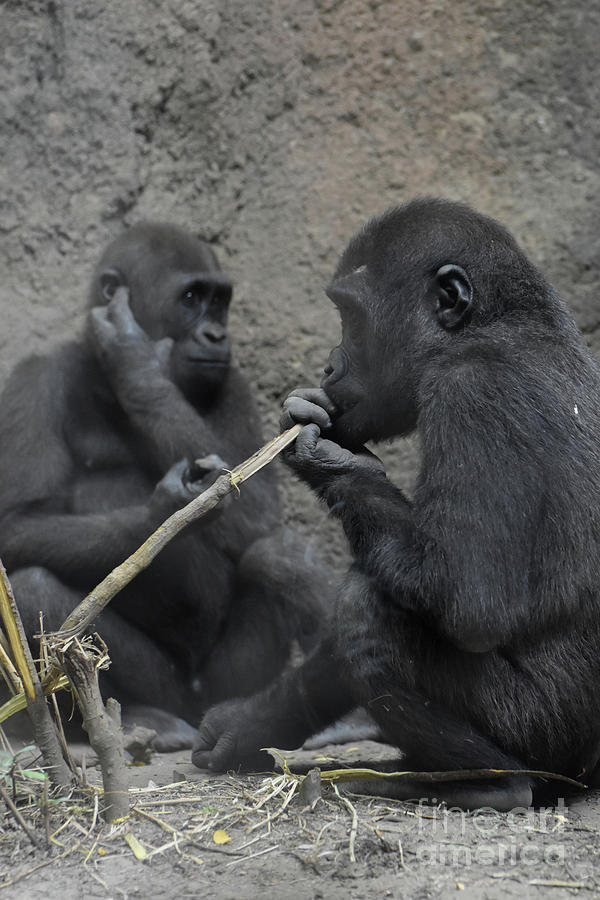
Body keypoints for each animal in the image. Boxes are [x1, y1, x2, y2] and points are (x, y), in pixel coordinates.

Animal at [0, 221, 328, 748]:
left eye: (219, 302)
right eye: (191, 298)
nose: (217, 334)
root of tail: (193, 706)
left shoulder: (231, 381)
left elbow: (258, 509)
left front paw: (136, 365)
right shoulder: (34, 377)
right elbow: (17, 523)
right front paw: (166, 509)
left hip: (221, 684)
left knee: (277, 550)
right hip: (168, 688)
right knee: (36, 590)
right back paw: (136, 717)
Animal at [193, 197, 600, 808]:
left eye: (352, 317)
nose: (330, 364)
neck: (497, 325)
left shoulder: (473, 393)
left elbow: (468, 597)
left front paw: (335, 460)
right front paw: (255, 721)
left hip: (552, 740)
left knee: (369, 614)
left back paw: (495, 785)